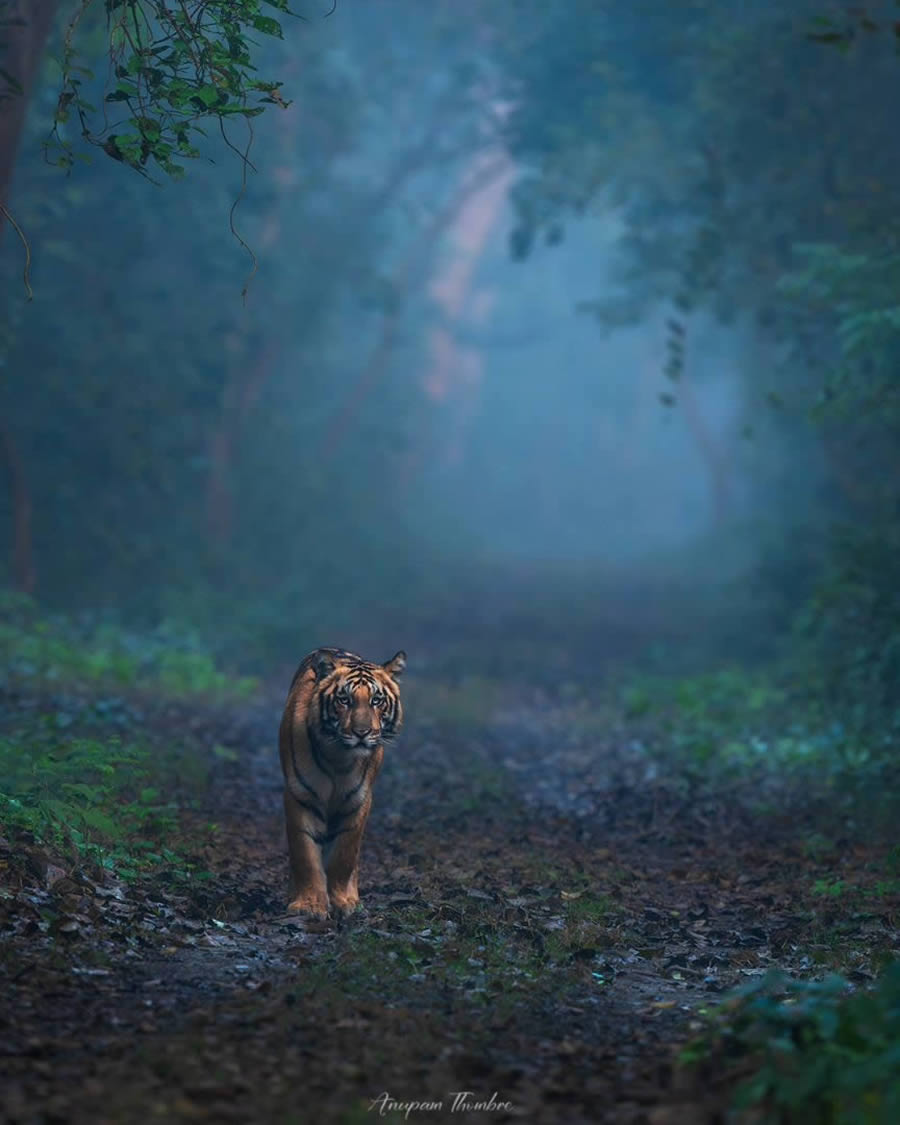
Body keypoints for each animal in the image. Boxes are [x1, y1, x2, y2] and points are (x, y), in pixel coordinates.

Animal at [279, 648, 405, 918]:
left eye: (376, 701)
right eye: (344, 700)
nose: (362, 733)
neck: (339, 756)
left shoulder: (358, 801)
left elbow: (344, 855)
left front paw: (343, 902)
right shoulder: (300, 795)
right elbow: (305, 854)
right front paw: (308, 905)